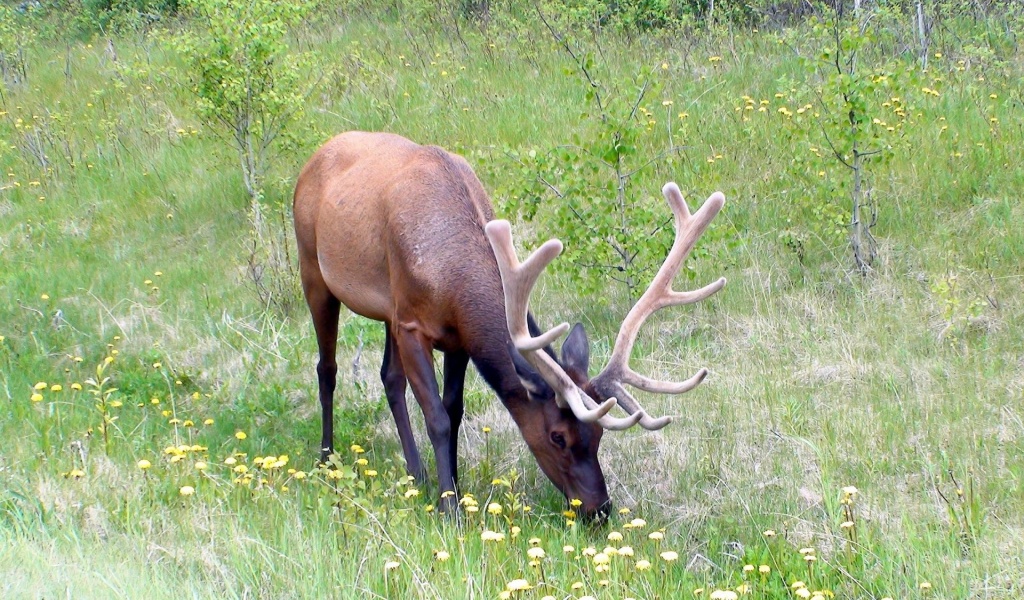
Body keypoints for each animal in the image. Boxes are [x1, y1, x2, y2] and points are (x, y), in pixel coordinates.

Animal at [294, 133, 729, 516]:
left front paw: (452, 486)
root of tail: (315, 155)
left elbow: (453, 410)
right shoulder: (411, 324)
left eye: (599, 436)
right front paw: (450, 508)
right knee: (327, 368)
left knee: (389, 377)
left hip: (385, 310)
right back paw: (326, 456)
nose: (600, 509)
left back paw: (416, 474)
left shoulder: (454, 337)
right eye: (558, 436)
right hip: (313, 270)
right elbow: (436, 417)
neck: (450, 278)